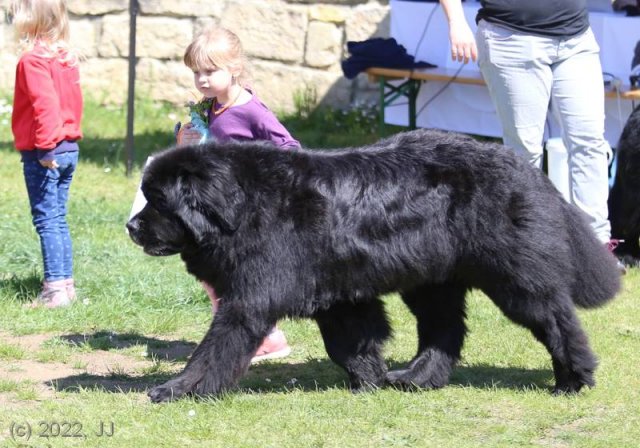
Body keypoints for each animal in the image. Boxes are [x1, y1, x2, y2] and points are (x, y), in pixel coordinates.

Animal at [126, 127, 620, 402]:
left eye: (158, 201)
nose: (131, 226)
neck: (243, 206)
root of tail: (525, 167)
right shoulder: (336, 295)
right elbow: (350, 342)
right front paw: (369, 380)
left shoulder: (252, 297)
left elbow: (216, 347)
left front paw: (179, 389)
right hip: (431, 281)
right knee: (444, 329)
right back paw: (418, 378)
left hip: (513, 276)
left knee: (555, 318)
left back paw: (573, 379)